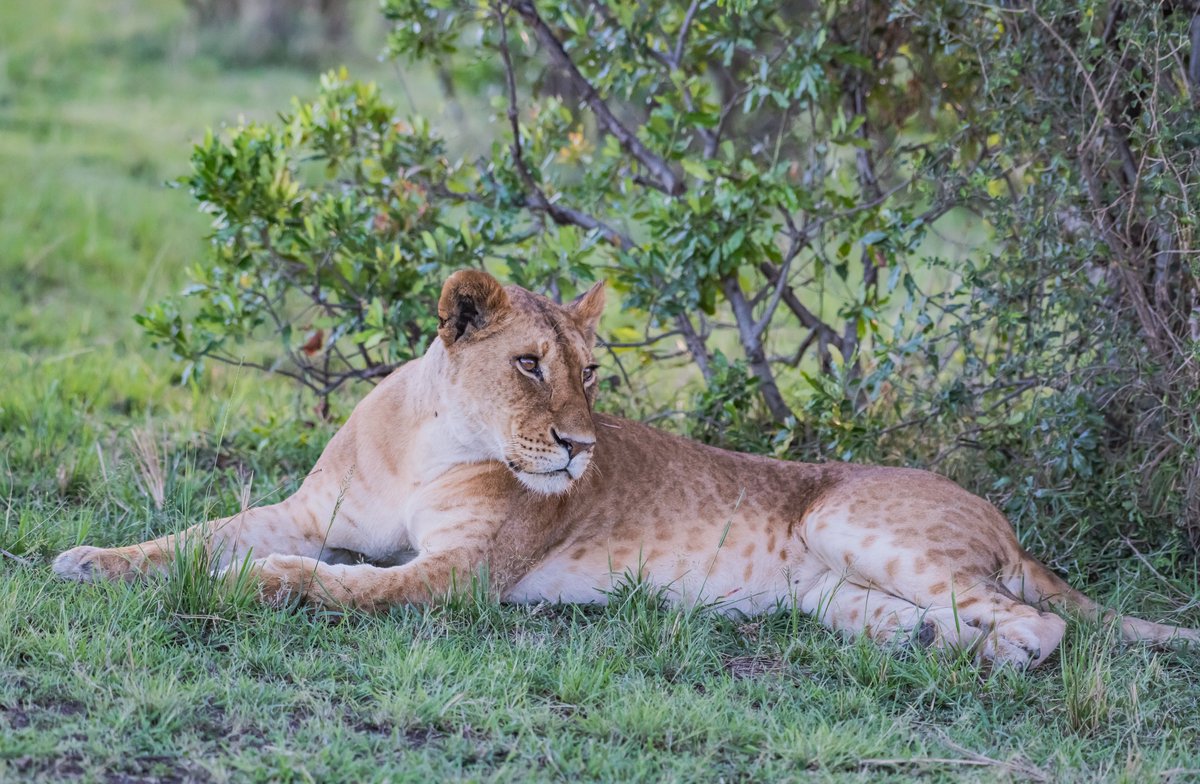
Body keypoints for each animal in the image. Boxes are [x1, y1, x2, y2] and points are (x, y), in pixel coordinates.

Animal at [54, 269, 1198, 668]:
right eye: (529, 363)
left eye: (591, 371)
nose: (579, 447)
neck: (433, 442)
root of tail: (1006, 520)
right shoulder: (308, 509)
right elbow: (200, 534)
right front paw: (89, 561)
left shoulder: (459, 579)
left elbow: (337, 582)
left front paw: (259, 585)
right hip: (827, 584)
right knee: (926, 616)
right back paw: (919, 643)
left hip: (849, 523)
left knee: (1039, 626)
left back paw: (992, 659)